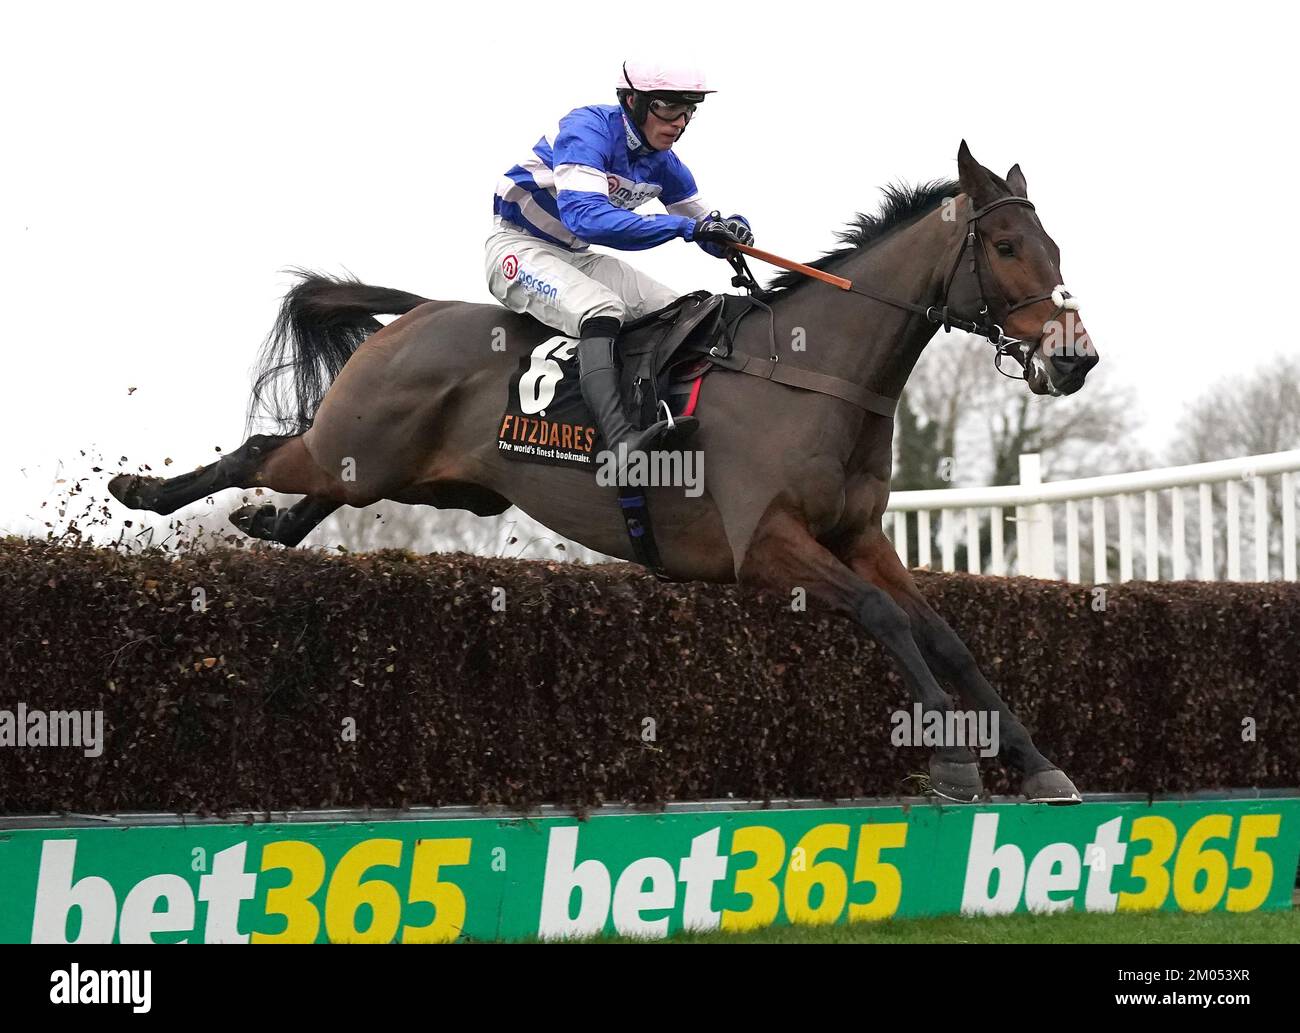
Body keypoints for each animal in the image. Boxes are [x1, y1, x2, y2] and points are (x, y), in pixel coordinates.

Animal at [109, 143, 1097, 805]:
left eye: (1053, 244)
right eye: (1008, 246)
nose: (1074, 357)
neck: (813, 371)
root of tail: (417, 312)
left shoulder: (856, 535)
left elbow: (947, 634)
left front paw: (1038, 760)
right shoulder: (765, 546)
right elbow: (886, 619)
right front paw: (952, 757)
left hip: (415, 474)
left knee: (315, 488)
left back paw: (265, 525)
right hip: (358, 440)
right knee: (260, 451)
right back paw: (143, 492)